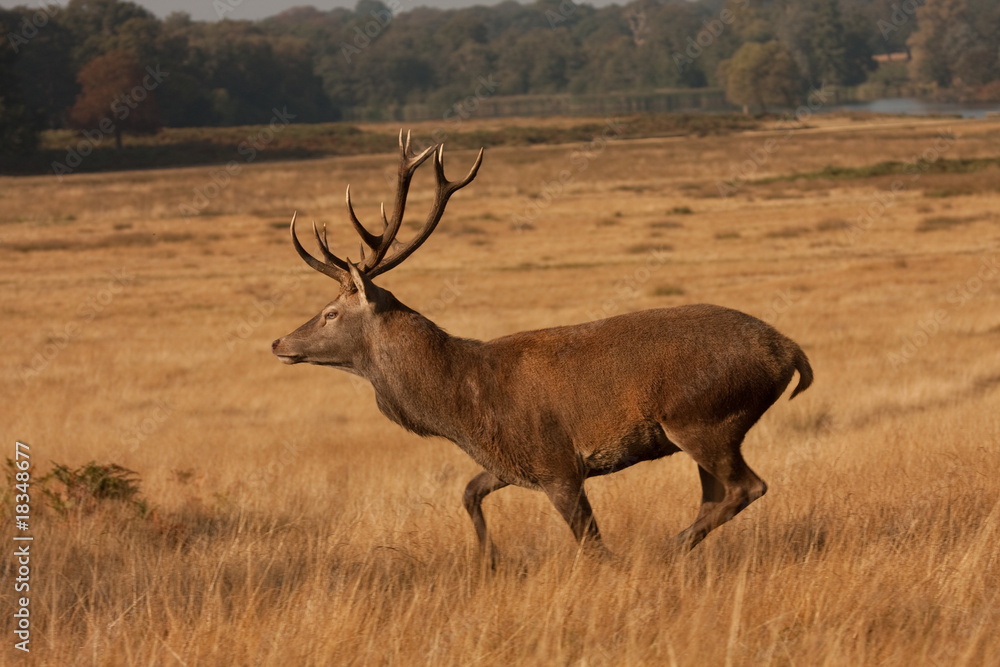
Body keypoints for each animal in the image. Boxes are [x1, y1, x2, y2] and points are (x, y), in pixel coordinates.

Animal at [272, 131, 813, 561]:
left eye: (331, 312)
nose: (279, 341)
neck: (462, 403)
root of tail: (791, 352)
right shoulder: (509, 462)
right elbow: (468, 492)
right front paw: (489, 560)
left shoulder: (559, 465)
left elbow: (592, 545)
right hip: (703, 429)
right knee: (716, 494)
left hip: (703, 418)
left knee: (746, 485)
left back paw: (666, 549)